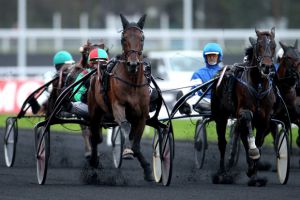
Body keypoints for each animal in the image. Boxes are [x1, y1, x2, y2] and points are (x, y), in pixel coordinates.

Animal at [86, 14, 152, 181]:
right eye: (123, 38)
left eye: (142, 38)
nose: (133, 64)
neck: (133, 82)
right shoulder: (118, 105)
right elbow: (124, 124)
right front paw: (127, 151)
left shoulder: (142, 114)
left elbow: (136, 143)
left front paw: (148, 169)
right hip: (94, 111)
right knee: (94, 137)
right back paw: (93, 163)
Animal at [211, 27, 276, 187]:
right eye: (259, 45)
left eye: (274, 46)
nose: (266, 66)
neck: (258, 86)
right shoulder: (243, 111)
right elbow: (247, 119)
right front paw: (252, 153)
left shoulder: (264, 119)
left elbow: (258, 143)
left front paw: (255, 175)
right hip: (220, 117)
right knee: (222, 143)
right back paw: (222, 174)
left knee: (241, 134)